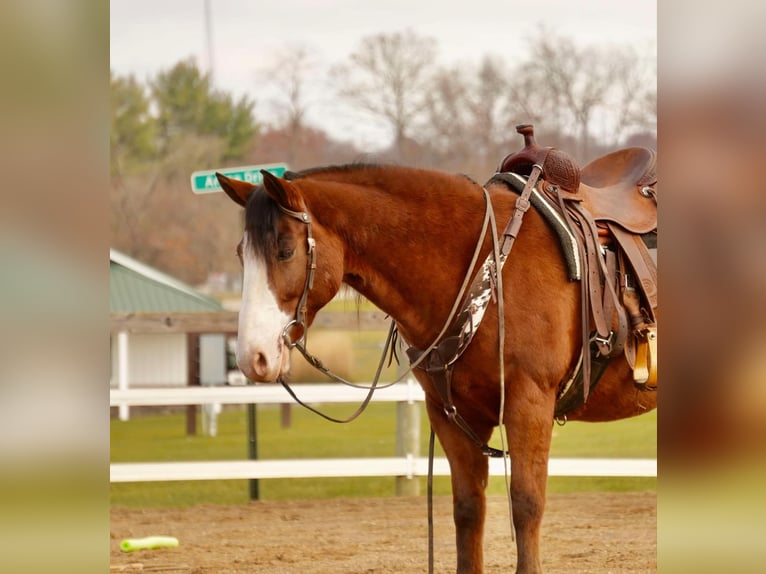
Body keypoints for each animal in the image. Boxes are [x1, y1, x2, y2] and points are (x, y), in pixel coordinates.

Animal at [218, 134, 660, 572]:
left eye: (285, 250)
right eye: (241, 254)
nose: (252, 356)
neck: (489, 264)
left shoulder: (529, 403)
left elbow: (526, 505)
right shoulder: (450, 414)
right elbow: (468, 509)